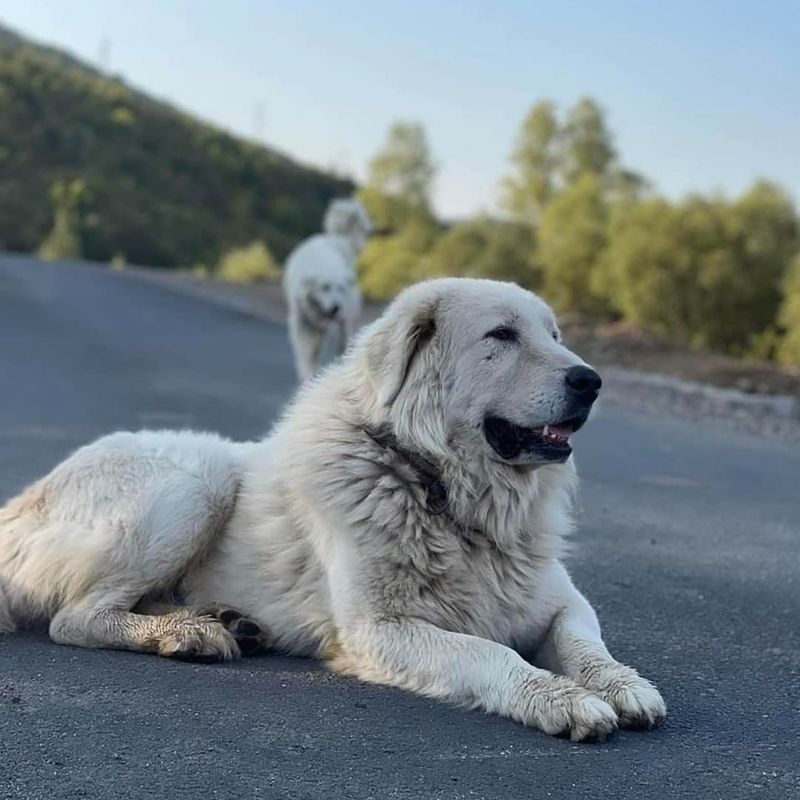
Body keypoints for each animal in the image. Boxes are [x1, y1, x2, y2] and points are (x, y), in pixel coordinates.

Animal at [0, 278, 664, 740]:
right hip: (197, 483)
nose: (591, 381)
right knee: (76, 618)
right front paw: (561, 700)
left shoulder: (560, 601)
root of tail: (18, 506)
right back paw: (185, 633)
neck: (439, 489)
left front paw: (624, 686)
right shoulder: (381, 630)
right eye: (501, 336)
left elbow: (587, 645)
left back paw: (222, 620)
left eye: (555, 336)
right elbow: (489, 652)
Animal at [282, 195, 374, 380]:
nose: (335, 307)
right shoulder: (302, 323)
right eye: (325, 287)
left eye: (341, 289)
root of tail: (336, 239)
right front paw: (308, 375)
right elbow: (306, 355)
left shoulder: (339, 323)